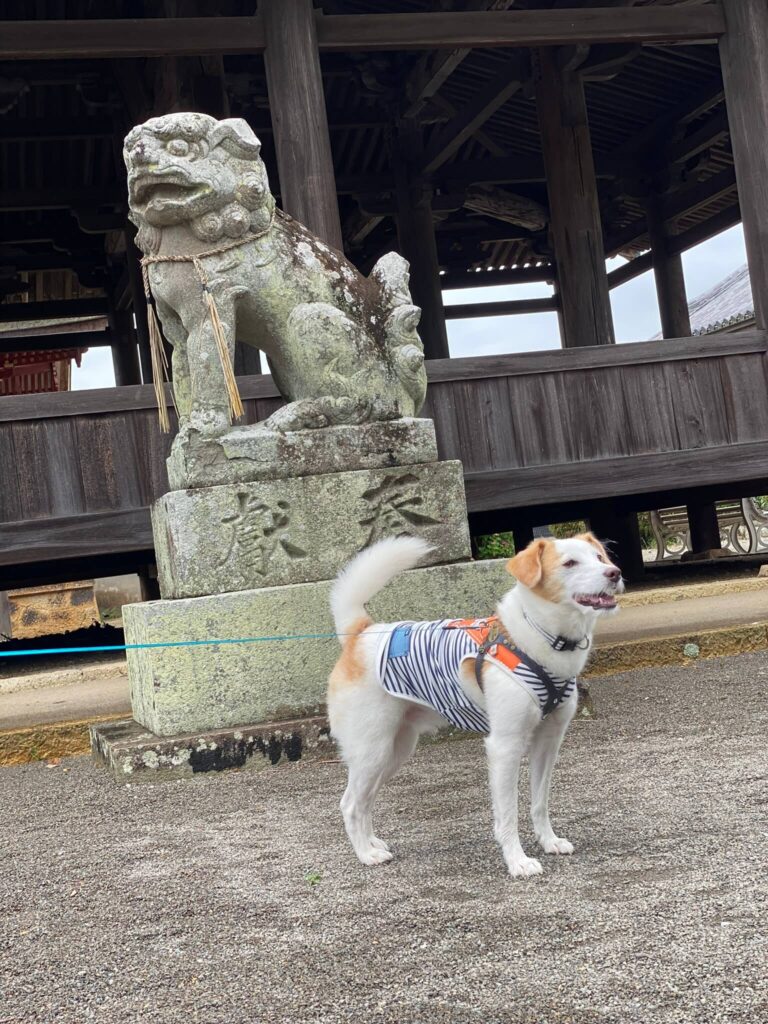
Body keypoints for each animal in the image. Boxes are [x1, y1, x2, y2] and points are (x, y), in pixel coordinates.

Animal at [325, 532, 626, 876]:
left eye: (599, 558)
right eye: (570, 563)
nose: (614, 573)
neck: (541, 636)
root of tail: (360, 633)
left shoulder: (548, 742)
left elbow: (539, 802)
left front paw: (549, 842)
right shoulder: (505, 745)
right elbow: (508, 813)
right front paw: (517, 861)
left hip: (394, 751)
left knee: (365, 800)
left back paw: (373, 843)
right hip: (371, 749)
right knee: (350, 803)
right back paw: (366, 854)